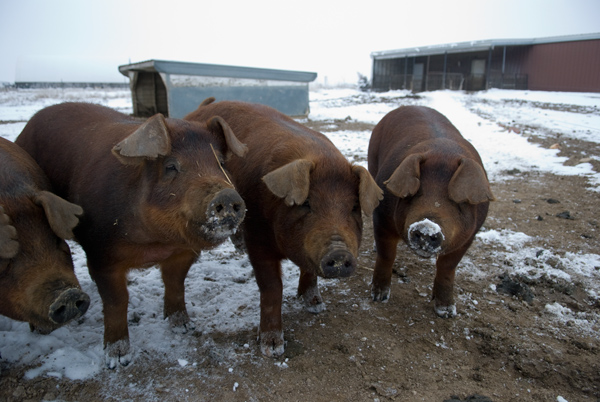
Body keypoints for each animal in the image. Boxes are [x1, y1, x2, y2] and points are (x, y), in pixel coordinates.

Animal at [15, 103, 248, 368]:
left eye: (221, 163)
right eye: (171, 166)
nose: (226, 196)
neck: (157, 243)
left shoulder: (183, 253)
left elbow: (175, 284)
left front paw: (184, 327)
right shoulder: (101, 255)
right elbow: (117, 302)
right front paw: (117, 359)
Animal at [185, 99, 382, 356]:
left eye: (354, 207)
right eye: (306, 204)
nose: (339, 252)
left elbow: (309, 272)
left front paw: (316, 306)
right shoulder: (257, 238)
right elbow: (272, 287)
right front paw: (272, 348)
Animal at [368, 106, 494, 318]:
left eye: (457, 202)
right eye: (415, 194)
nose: (427, 226)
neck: (443, 152)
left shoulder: (469, 236)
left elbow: (447, 268)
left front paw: (447, 312)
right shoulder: (381, 217)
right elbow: (386, 255)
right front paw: (378, 297)